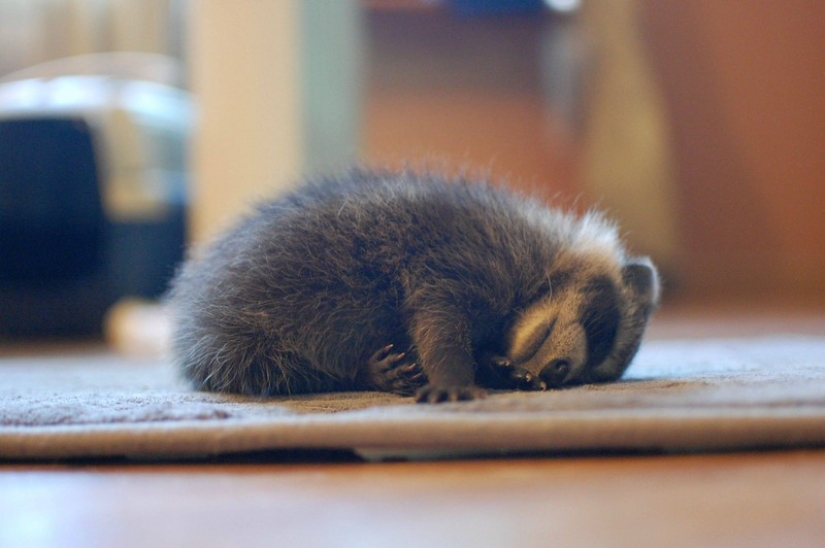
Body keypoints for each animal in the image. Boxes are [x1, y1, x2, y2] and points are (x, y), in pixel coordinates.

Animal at [168, 169, 659, 403]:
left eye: (586, 374)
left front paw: (497, 367)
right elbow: (437, 315)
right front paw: (455, 371)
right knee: (270, 369)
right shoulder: (465, 255)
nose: (558, 371)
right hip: (237, 330)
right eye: (601, 331)